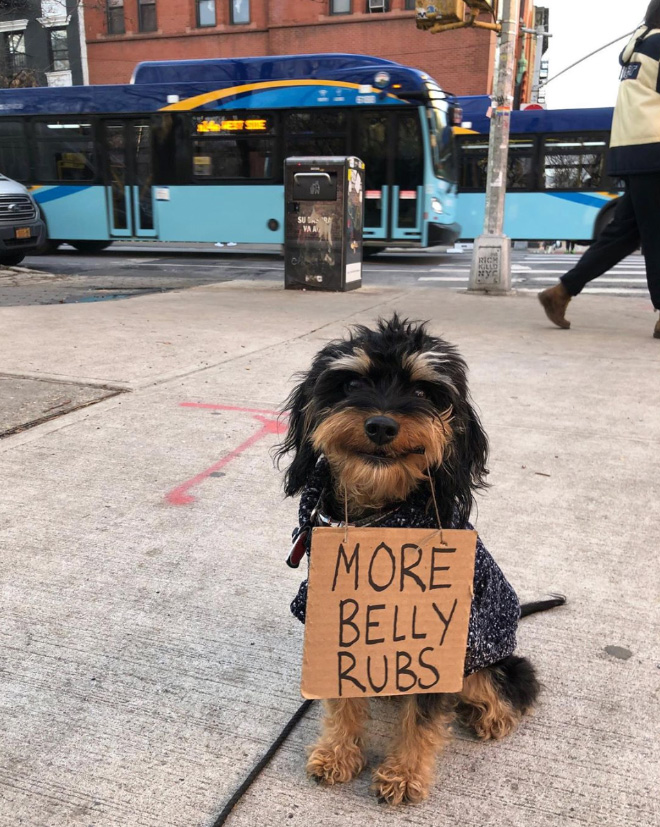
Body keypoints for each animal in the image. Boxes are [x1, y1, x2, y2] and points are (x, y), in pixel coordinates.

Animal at [278, 314, 564, 804]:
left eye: (424, 392)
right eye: (351, 382)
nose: (380, 426)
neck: (381, 517)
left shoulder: (437, 637)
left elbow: (425, 718)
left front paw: (404, 774)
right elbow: (343, 698)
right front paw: (337, 753)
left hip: (489, 660)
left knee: (511, 684)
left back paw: (492, 716)